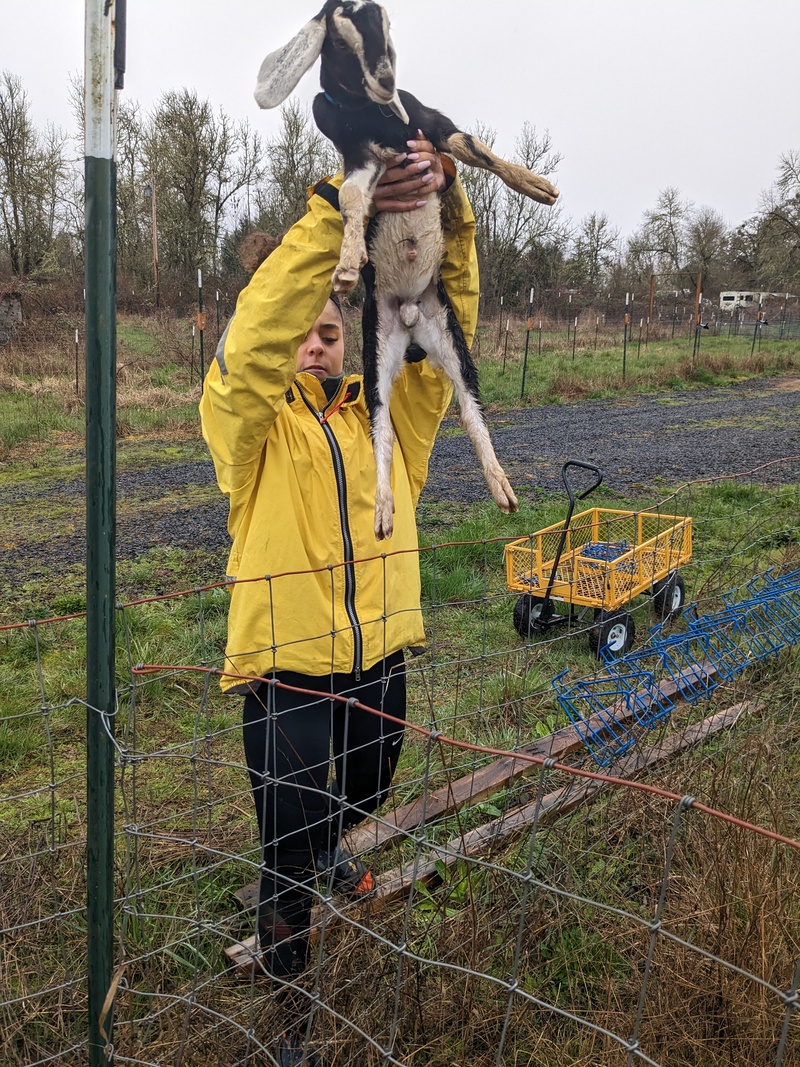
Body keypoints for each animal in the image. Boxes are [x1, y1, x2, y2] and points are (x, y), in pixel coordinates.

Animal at [254, 0, 558, 537]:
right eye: (338, 36)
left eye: (386, 18)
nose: (385, 79)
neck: (375, 116)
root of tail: (414, 317)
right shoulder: (360, 157)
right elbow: (351, 198)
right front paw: (348, 265)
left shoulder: (429, 125)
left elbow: (473, 146)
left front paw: (537, 186)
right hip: (378, 347)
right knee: (380, 423)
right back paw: (382, 512)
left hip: (451, 337)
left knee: (468, 406)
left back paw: (503, 491)